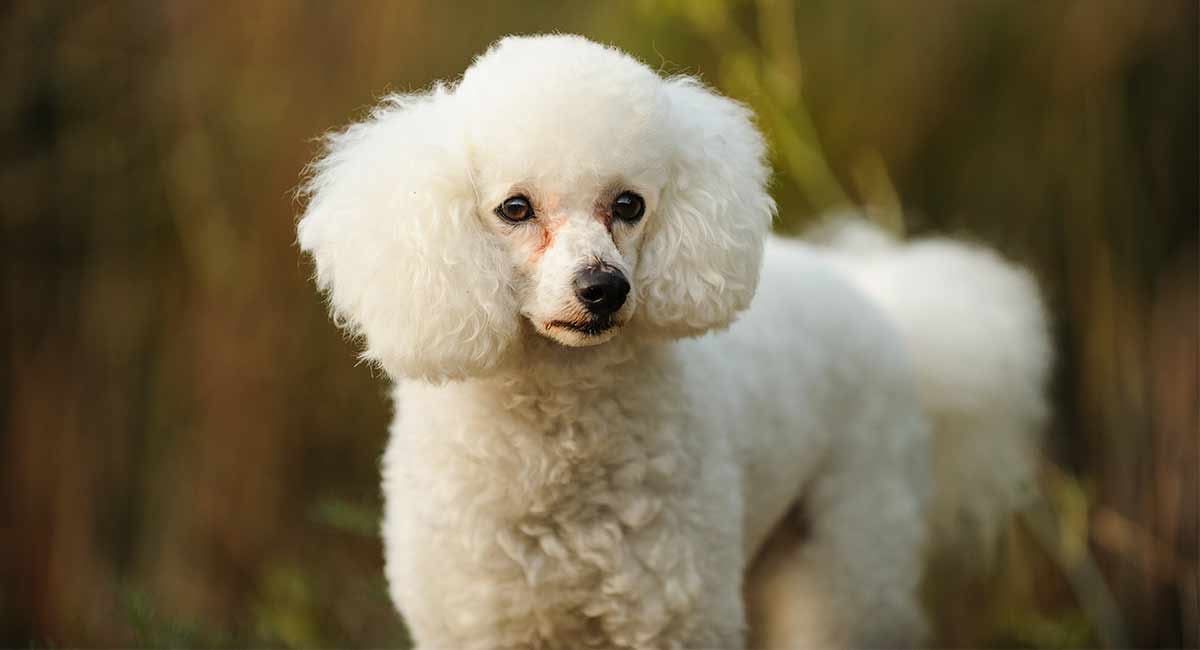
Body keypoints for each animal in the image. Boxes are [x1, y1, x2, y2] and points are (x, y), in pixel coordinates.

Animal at [300, 36, 1051, 650]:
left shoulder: (670, 614)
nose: (603, 288)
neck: (557, 437)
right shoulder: (478, 620)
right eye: (515, 208)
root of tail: (882, 301)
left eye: (628, 205)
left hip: (849, 551)